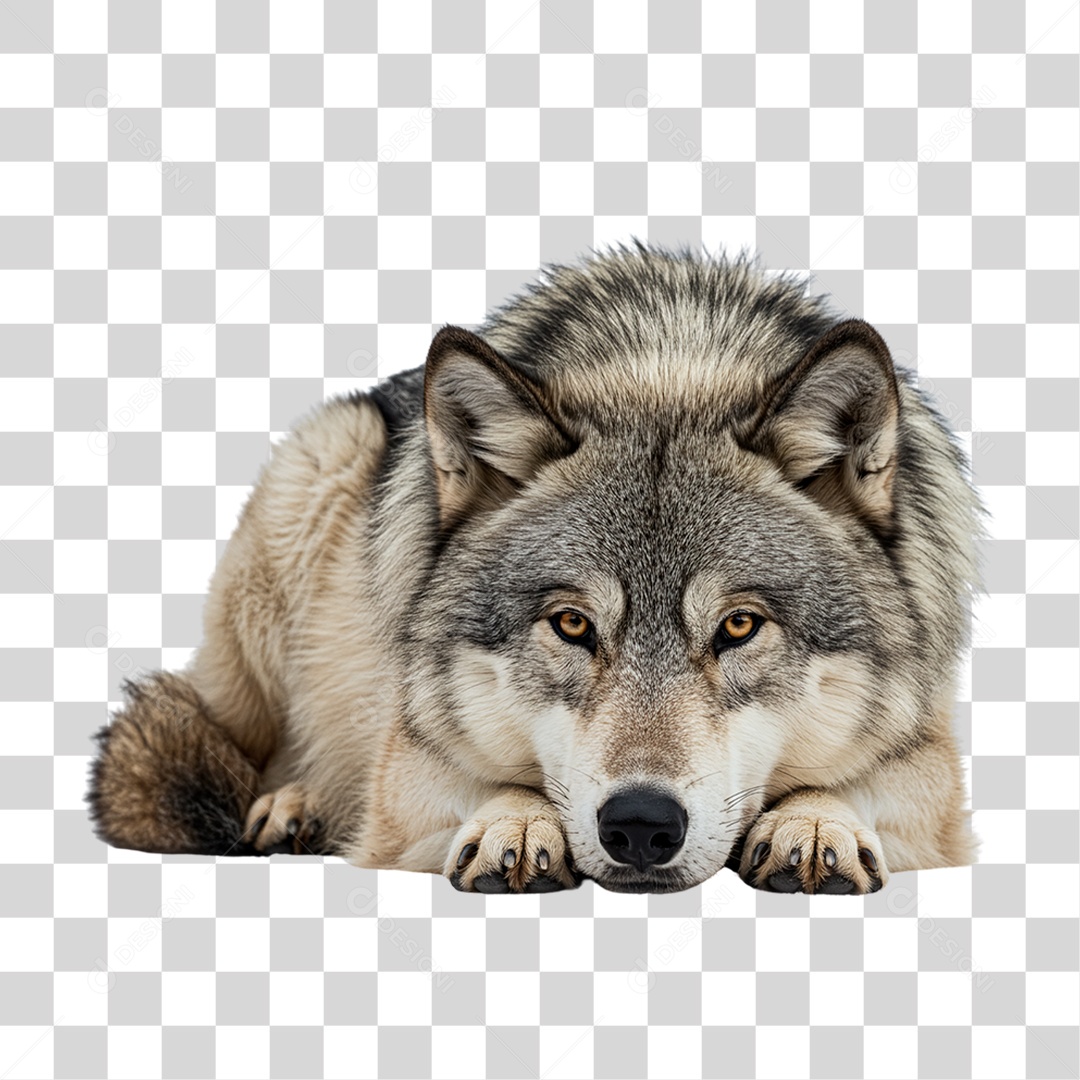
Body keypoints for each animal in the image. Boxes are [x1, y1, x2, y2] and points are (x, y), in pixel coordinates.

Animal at [87, 243, 982, 894]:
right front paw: (517, 823)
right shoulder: (406, 767)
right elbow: (467, 782)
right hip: (312, 480)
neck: (667, 364)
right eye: (572, 624)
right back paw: (295, 806)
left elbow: (855, 785)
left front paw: (815, 823)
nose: (641, 825)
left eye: (738, 625)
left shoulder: (934, 763)